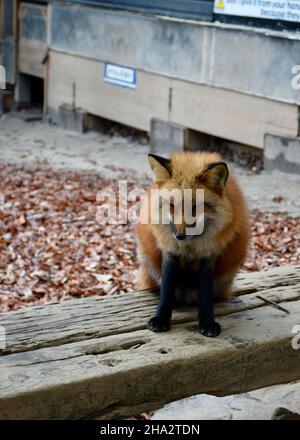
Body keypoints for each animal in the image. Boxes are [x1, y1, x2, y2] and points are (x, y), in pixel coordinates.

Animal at [136, 151, 248, 336]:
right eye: (172, 205)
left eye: (195, 208)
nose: (180, 235)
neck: (190, 247)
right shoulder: (169, 251)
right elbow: (166, 290)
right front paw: (161, 318)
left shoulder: (210, 255)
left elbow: (205, 294)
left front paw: (207, 322)